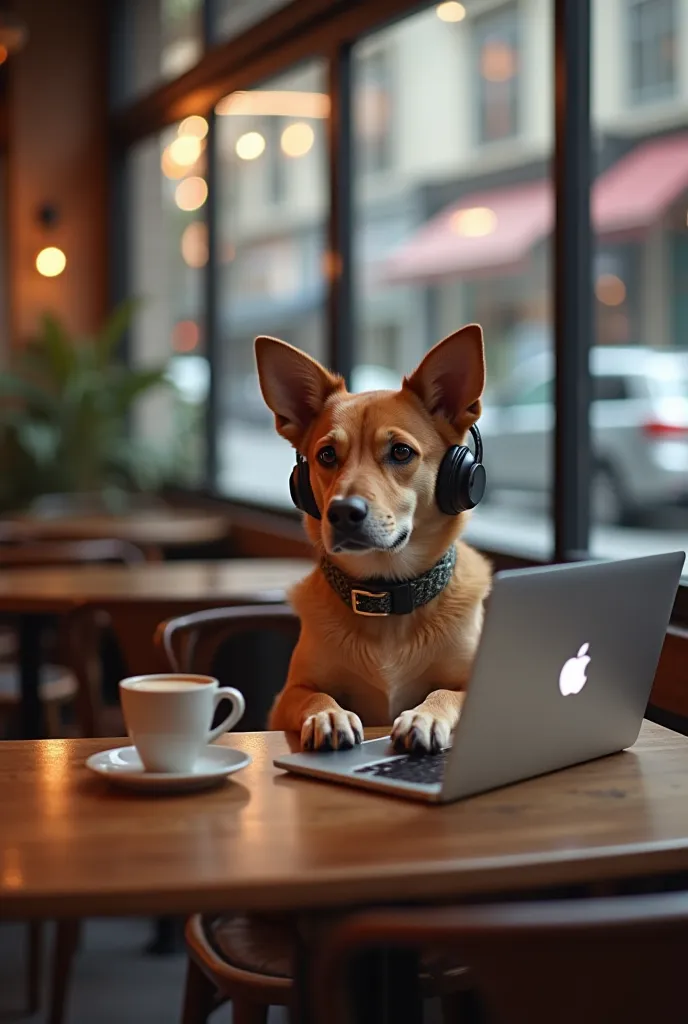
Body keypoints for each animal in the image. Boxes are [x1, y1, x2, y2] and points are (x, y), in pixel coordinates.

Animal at [254, 323, 491, 757]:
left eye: (400, 452)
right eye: (327, 455)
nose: (344, 512)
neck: (388, 598)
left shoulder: (475, 683)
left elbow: (446, 693)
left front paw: (424, 716)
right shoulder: (286, 697)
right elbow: (315, 695)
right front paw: (330, 715)